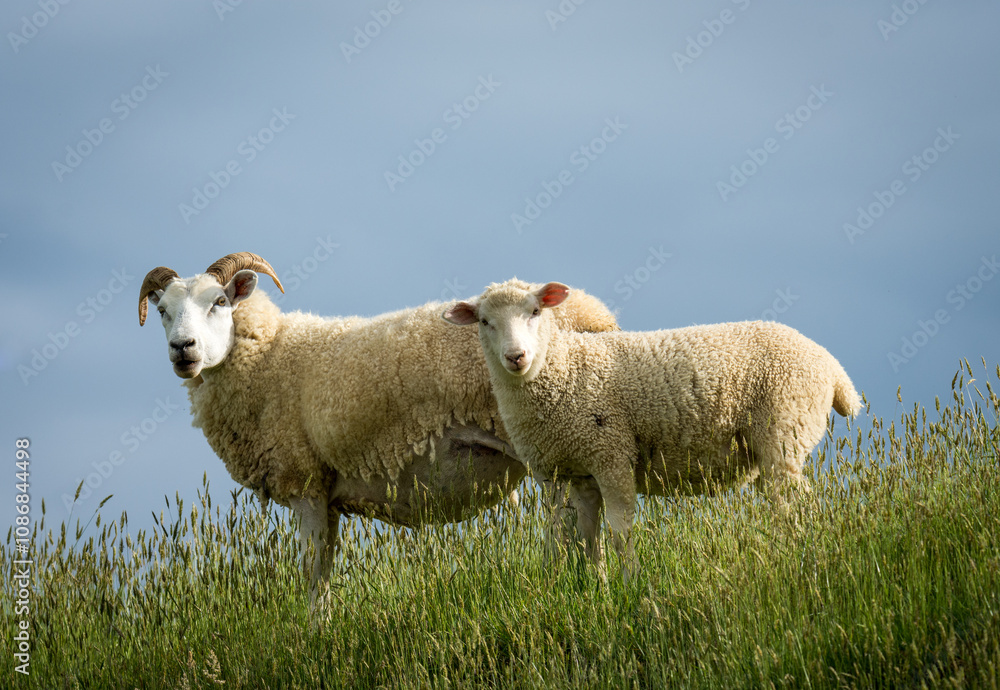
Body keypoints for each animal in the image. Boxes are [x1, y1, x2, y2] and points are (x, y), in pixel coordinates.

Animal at [138, 254, 619, 601]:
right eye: (162, 310)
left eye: (219, 302)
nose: (183, 349)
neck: (270, 354)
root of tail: (598, 317)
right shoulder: (328, 496)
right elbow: (324, 574)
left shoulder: (305, 483)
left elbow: (311, 575)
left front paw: (309, 641)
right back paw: (593, 588)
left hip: (548, 439)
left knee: (568, 522)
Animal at [443, 279, 862, 575]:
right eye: (485, 321)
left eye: (534, 311)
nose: (516, 357)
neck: (564, 369)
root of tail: (832, 367)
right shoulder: (568, 472)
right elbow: (577, 536)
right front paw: (591, 587)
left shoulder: (611, 454)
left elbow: (620, 530)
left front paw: (629, 586)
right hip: (775, 443)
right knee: (785, 505)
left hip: (785, 429)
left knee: (797, 506)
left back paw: (803, 561)